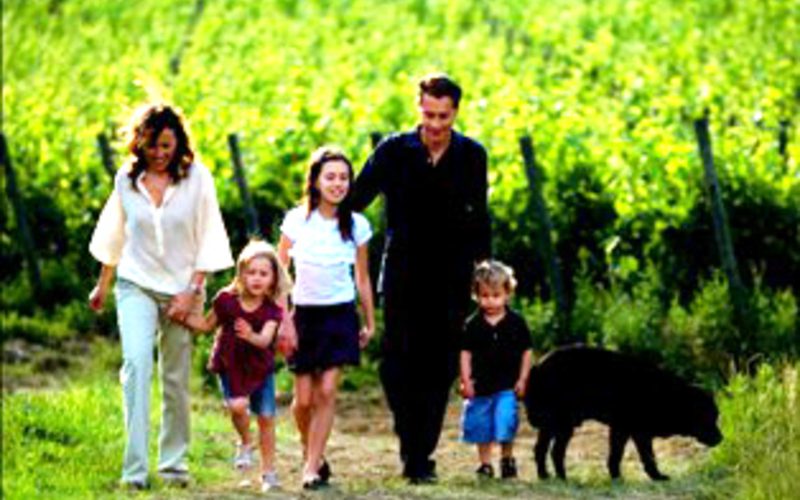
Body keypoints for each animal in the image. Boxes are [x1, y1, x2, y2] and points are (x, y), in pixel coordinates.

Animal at [524, 345, 722, 481]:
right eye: (709, 417)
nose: (721, 438)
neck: (664, 395)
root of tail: (537, 367)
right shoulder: (630, 430)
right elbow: (632, 456)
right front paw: (634, 476)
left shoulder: (630, 431)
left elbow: (631, 455)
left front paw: (626, 477)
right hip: (562, 424)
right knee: (554, 451)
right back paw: (561, 478)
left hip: (554, 426)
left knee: (542, 449)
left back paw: (547, 476)